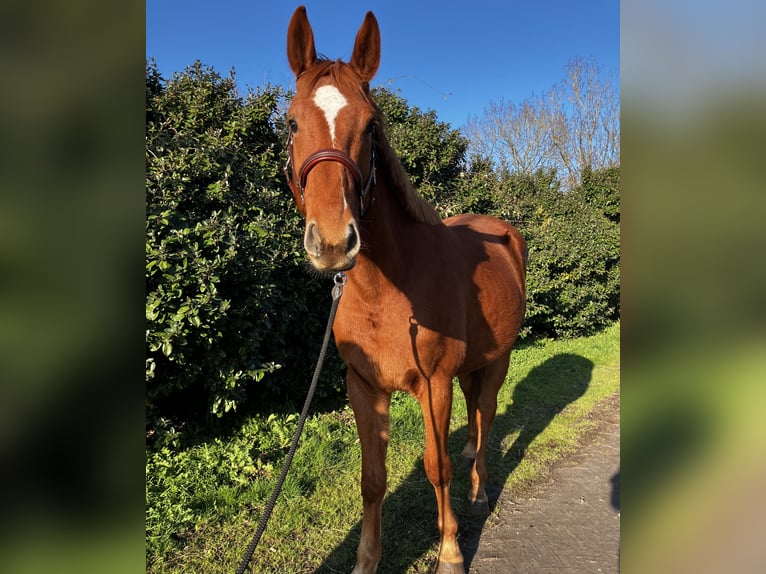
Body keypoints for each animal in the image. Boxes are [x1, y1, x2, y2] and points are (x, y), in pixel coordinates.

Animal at [284, 7, 527, 573]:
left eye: (372, 126)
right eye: (291, 122)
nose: (333, 242)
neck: (386, 295)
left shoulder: (433, 384)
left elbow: (436, 466)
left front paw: (450, 551)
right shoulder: (363, 386)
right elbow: (372, 479)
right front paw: (365, 560)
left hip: (498, 360)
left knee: (485, 416)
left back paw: (479, 494)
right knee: (475, 418)